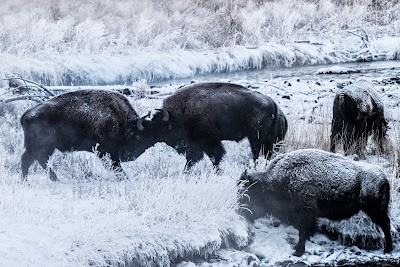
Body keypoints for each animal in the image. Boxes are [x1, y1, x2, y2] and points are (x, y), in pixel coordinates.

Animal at [19, 90, 147, 182]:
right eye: (137, 137)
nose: (131, 156)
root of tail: (27, 114)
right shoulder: (106, 151)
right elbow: (114, 164)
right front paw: (124, 177)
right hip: (41, 147)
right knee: (34, 160)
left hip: (43, 148)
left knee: (33, 160)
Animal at [239, 150, 392, 256]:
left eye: (251, 194)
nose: (242, 212)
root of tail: (384, 177)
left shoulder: (304, 214)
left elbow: (302, 232)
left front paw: (298, 251)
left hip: (376, 210)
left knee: (386, 225)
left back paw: (388, 250)